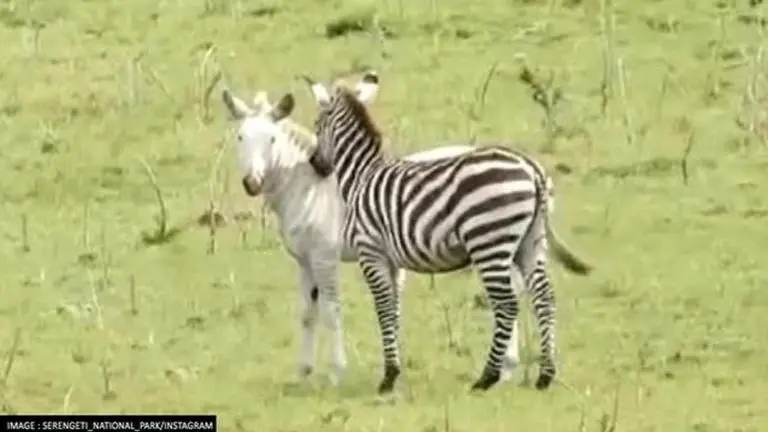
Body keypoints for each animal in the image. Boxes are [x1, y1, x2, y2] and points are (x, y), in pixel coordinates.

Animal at [221, 87, 487, 386]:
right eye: (240, 137)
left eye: (272, 139)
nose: (252, 183)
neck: (308, 188)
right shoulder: (304, 260)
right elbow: (307, 313)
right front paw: (304, 370)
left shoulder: (324, 257)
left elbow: (331, 311)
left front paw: (337, 371)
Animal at [296, 71, 593, 393]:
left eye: (316, 125)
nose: (315, 165)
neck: (363, 175)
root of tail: (531, 168)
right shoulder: (392, 260)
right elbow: (394, 311)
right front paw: (395, 370)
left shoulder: (370, 251)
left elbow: (384, 308)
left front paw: (388, 377)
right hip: (531, 242)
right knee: (544, 299)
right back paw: (545, 375)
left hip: (489, 241)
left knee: (506, 304)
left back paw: (487, 377)